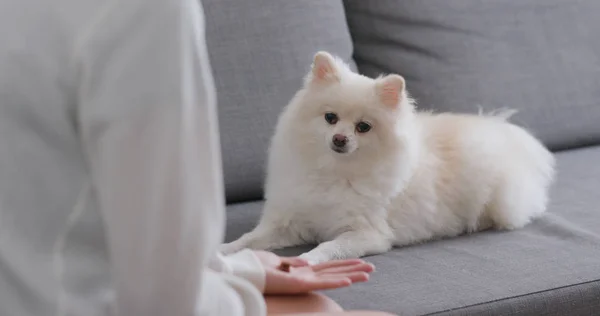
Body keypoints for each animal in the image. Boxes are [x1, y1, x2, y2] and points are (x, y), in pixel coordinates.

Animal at [221, 51, 556, 264]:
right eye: (330, 118)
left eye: (363, 127)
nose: (340, 139)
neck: (335, 171)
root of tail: (502, 130)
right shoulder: (290, 222)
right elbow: (249, 239)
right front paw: (224, 249)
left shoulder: (367, 234)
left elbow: (328, 246)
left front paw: (306, 260)